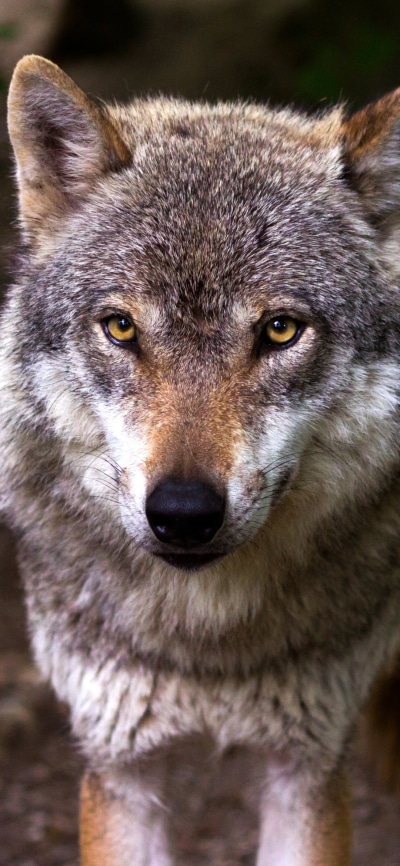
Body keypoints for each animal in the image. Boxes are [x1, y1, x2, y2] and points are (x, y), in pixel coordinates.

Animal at [1, 54, 400, 865]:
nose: (183, 514)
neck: (206, 645)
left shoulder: (307, 767)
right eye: (121, 327)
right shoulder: (119, 767)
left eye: (280, 330)